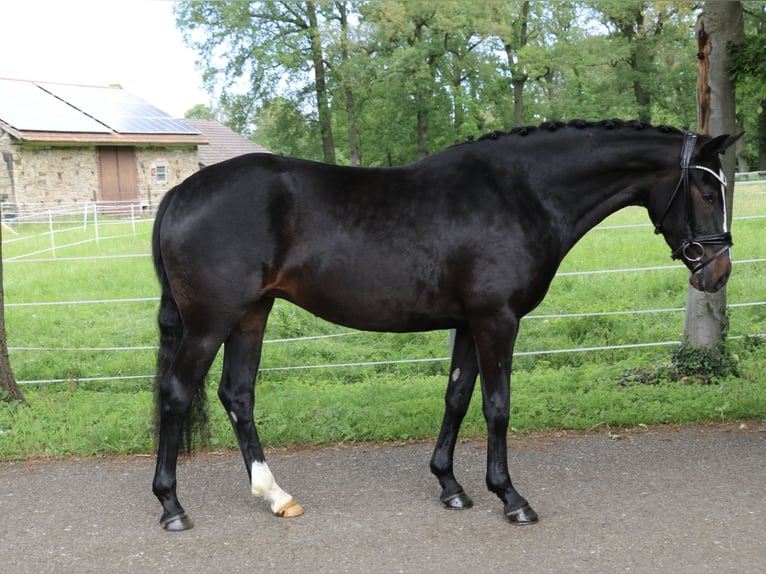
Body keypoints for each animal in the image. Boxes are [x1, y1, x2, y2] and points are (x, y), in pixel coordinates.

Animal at [152, 119, 744, 532]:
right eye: (707, 191)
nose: (718, 272)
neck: (521, 193)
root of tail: (179, 193)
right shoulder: (496, 321)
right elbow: (497, 406)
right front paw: (510, 497)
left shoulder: (467, 323)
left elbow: (457, 397)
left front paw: (450, 485)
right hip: (210, 321)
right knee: (178, 394)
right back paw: (172, 505)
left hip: (252, 314)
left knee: (237, 395)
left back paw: (276, 496)